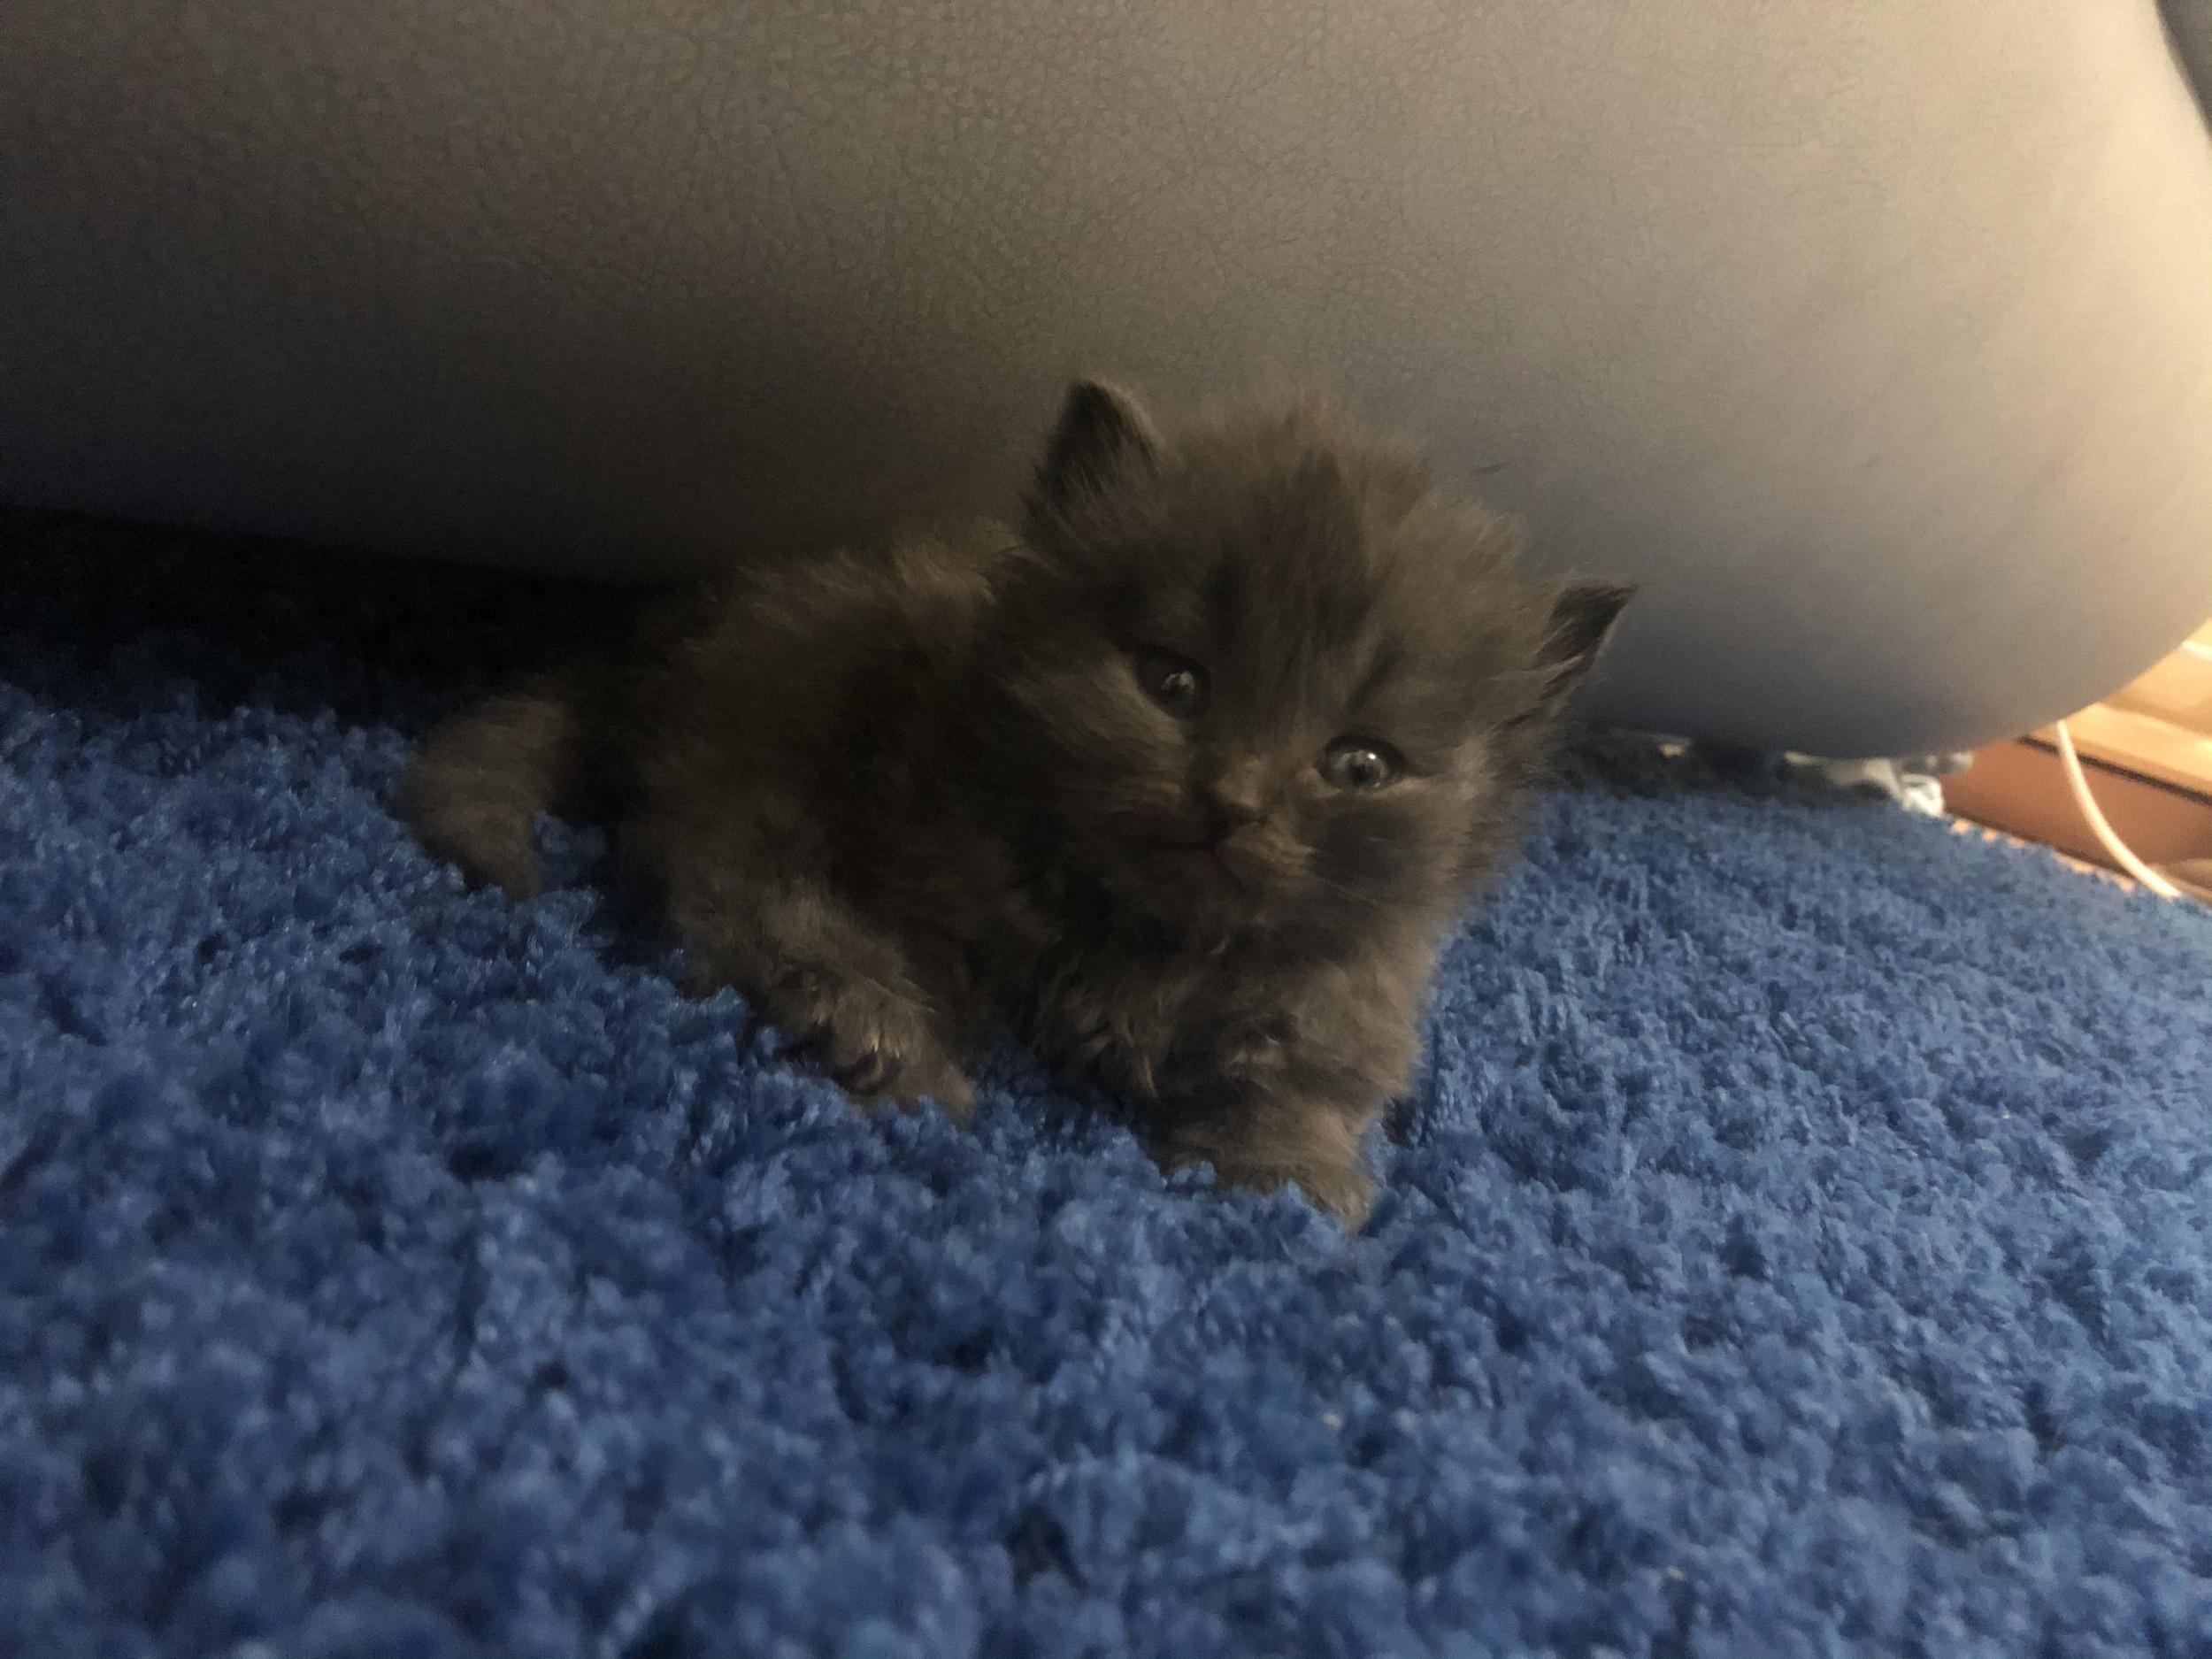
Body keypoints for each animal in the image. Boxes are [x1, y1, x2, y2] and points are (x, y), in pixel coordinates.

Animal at [404, 379, 1631, 1228]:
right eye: (1173, 683)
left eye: (1362, 766)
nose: (1232, 800)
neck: (1146, 941)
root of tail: (661, 639)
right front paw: (902, 1041)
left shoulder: (1355, 988)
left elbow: (1308, 1074)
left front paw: (1282, 1177)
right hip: (772, 727)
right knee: (721, 878)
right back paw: (861, 1025)